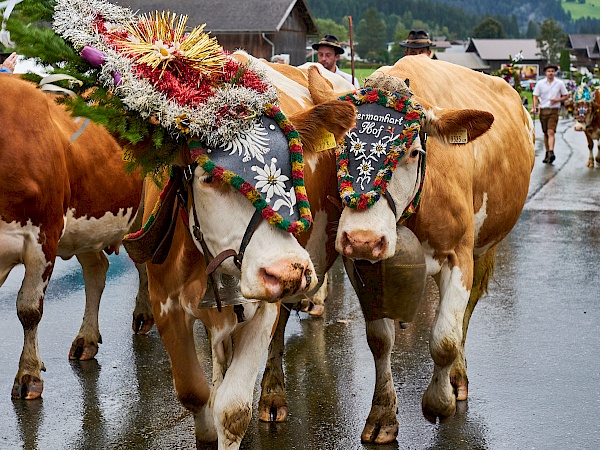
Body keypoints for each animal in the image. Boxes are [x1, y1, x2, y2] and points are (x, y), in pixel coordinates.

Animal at [0, 75, 150, 400]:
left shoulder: (44, 236)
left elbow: (29, 309)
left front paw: (28, 374)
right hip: (88, 227)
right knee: (97, 270)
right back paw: (87, 339)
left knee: (145, 259)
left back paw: (144, 313)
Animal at [135, 51, 356, 446]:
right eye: (209, 177)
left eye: (295, 169)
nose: (288, 270)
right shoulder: (164, 303)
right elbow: (192, 391)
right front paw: (206, 429)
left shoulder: (264, 305)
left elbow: (234, 409)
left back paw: (273, 393)